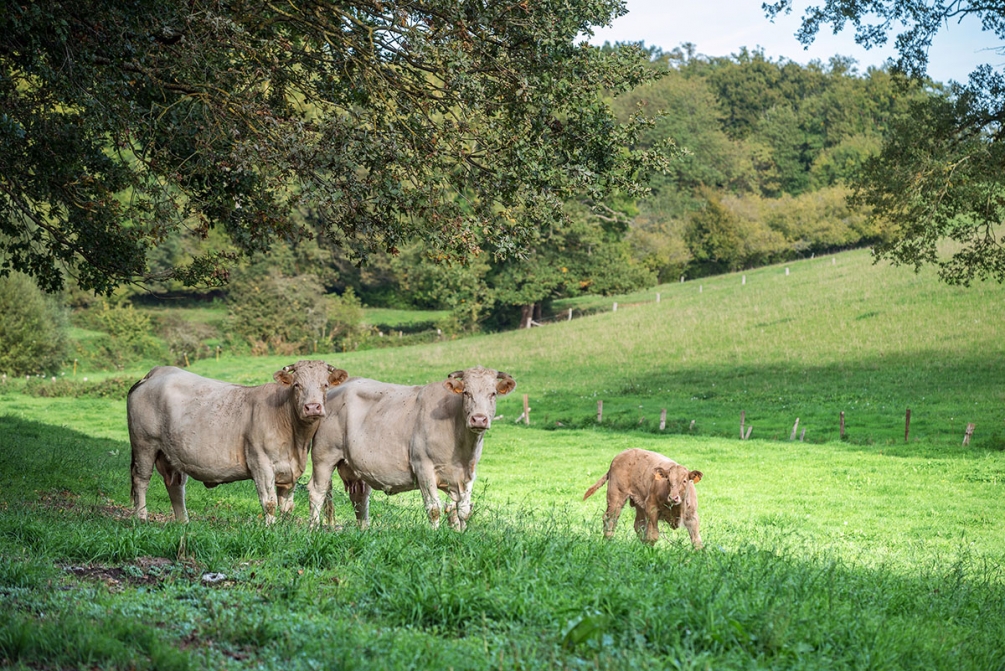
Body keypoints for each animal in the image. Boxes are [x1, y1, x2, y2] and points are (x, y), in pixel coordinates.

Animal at [127, 360, 348, 524]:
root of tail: (157, 372)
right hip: (144, 444)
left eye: (325, 385)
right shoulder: (261, 463)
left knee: (175, 486)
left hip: (170, 453)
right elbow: (269, 503)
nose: (313, 407)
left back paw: (184, 523)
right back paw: (141, 517)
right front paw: (270, 530)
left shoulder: (290, 471)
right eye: (297, 385)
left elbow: (287, 507)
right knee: (141, 480)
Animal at [307, 366, 516, 531]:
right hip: (324, 455)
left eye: (493, 394)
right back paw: (313, 529)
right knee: (317, 491)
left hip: (354, 466)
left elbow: (463, 511)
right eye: (466, 393)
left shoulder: (469, 473)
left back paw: (364, 530)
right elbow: (434, 509)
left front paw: (462, 535)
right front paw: (435, 536)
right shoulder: (423, 466)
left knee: (360, 498)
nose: (479, 419)